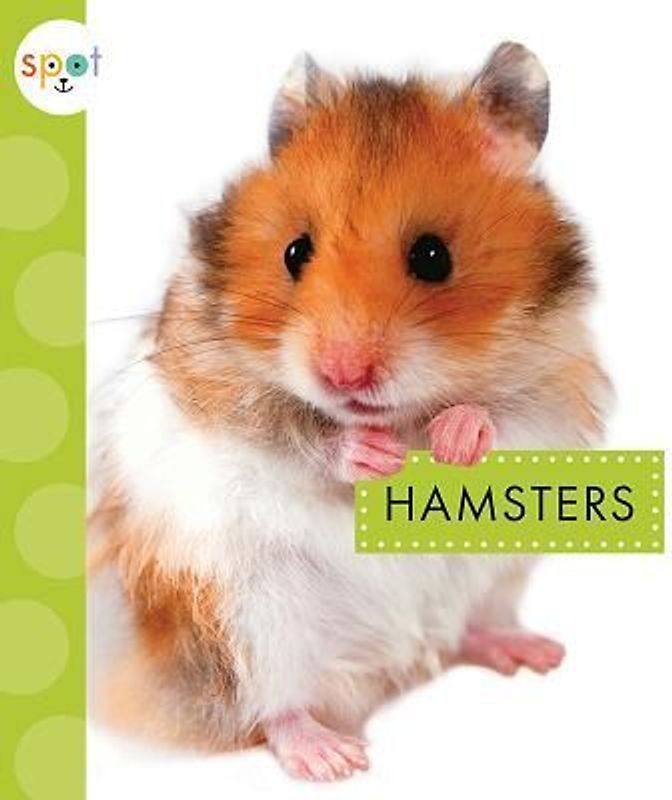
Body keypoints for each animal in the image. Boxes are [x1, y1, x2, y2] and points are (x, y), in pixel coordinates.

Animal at [89, 42, 611, 781]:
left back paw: (534, 653)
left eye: (433, 256)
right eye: (294, 251)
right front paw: (374, 455)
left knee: (467, 632)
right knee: (275, 709)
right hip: (251, 619)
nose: (342, 375)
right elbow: (292, 436)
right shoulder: (215, 387)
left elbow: (503, 417)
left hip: (495, 577)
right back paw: (332, 759)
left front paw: (453, 437)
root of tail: (389, 668)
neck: (395, 412)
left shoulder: (557, 379)